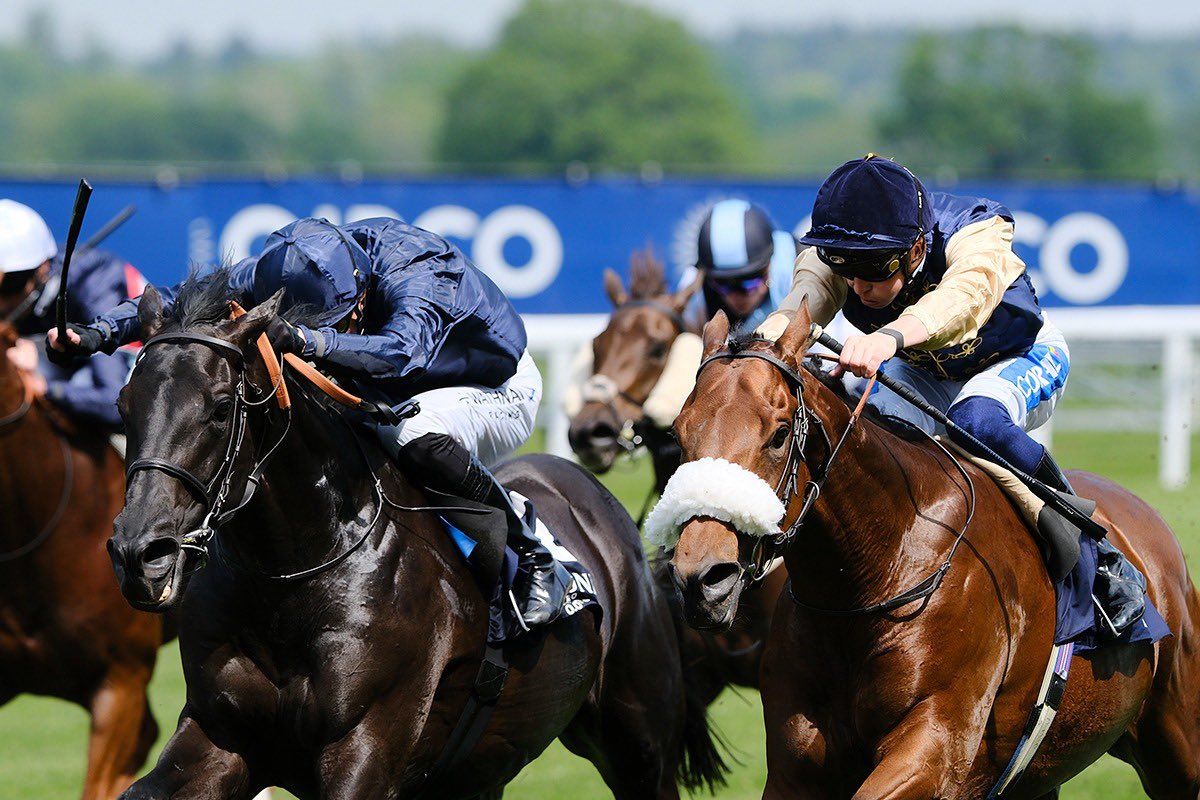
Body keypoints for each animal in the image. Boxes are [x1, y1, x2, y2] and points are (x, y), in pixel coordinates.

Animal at [108, 277, 720, 800]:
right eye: (124, 404)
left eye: (218, 408)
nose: (139, 554)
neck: (296, 573)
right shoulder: (221, 734)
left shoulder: (365, 748)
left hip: (639, 740)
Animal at [662, 303, 1200, 796]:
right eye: (678, 433)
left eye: (777, 435)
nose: (703, 580)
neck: (875, 571)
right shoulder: (798, 763)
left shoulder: (936, 745)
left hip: (1176, 741)